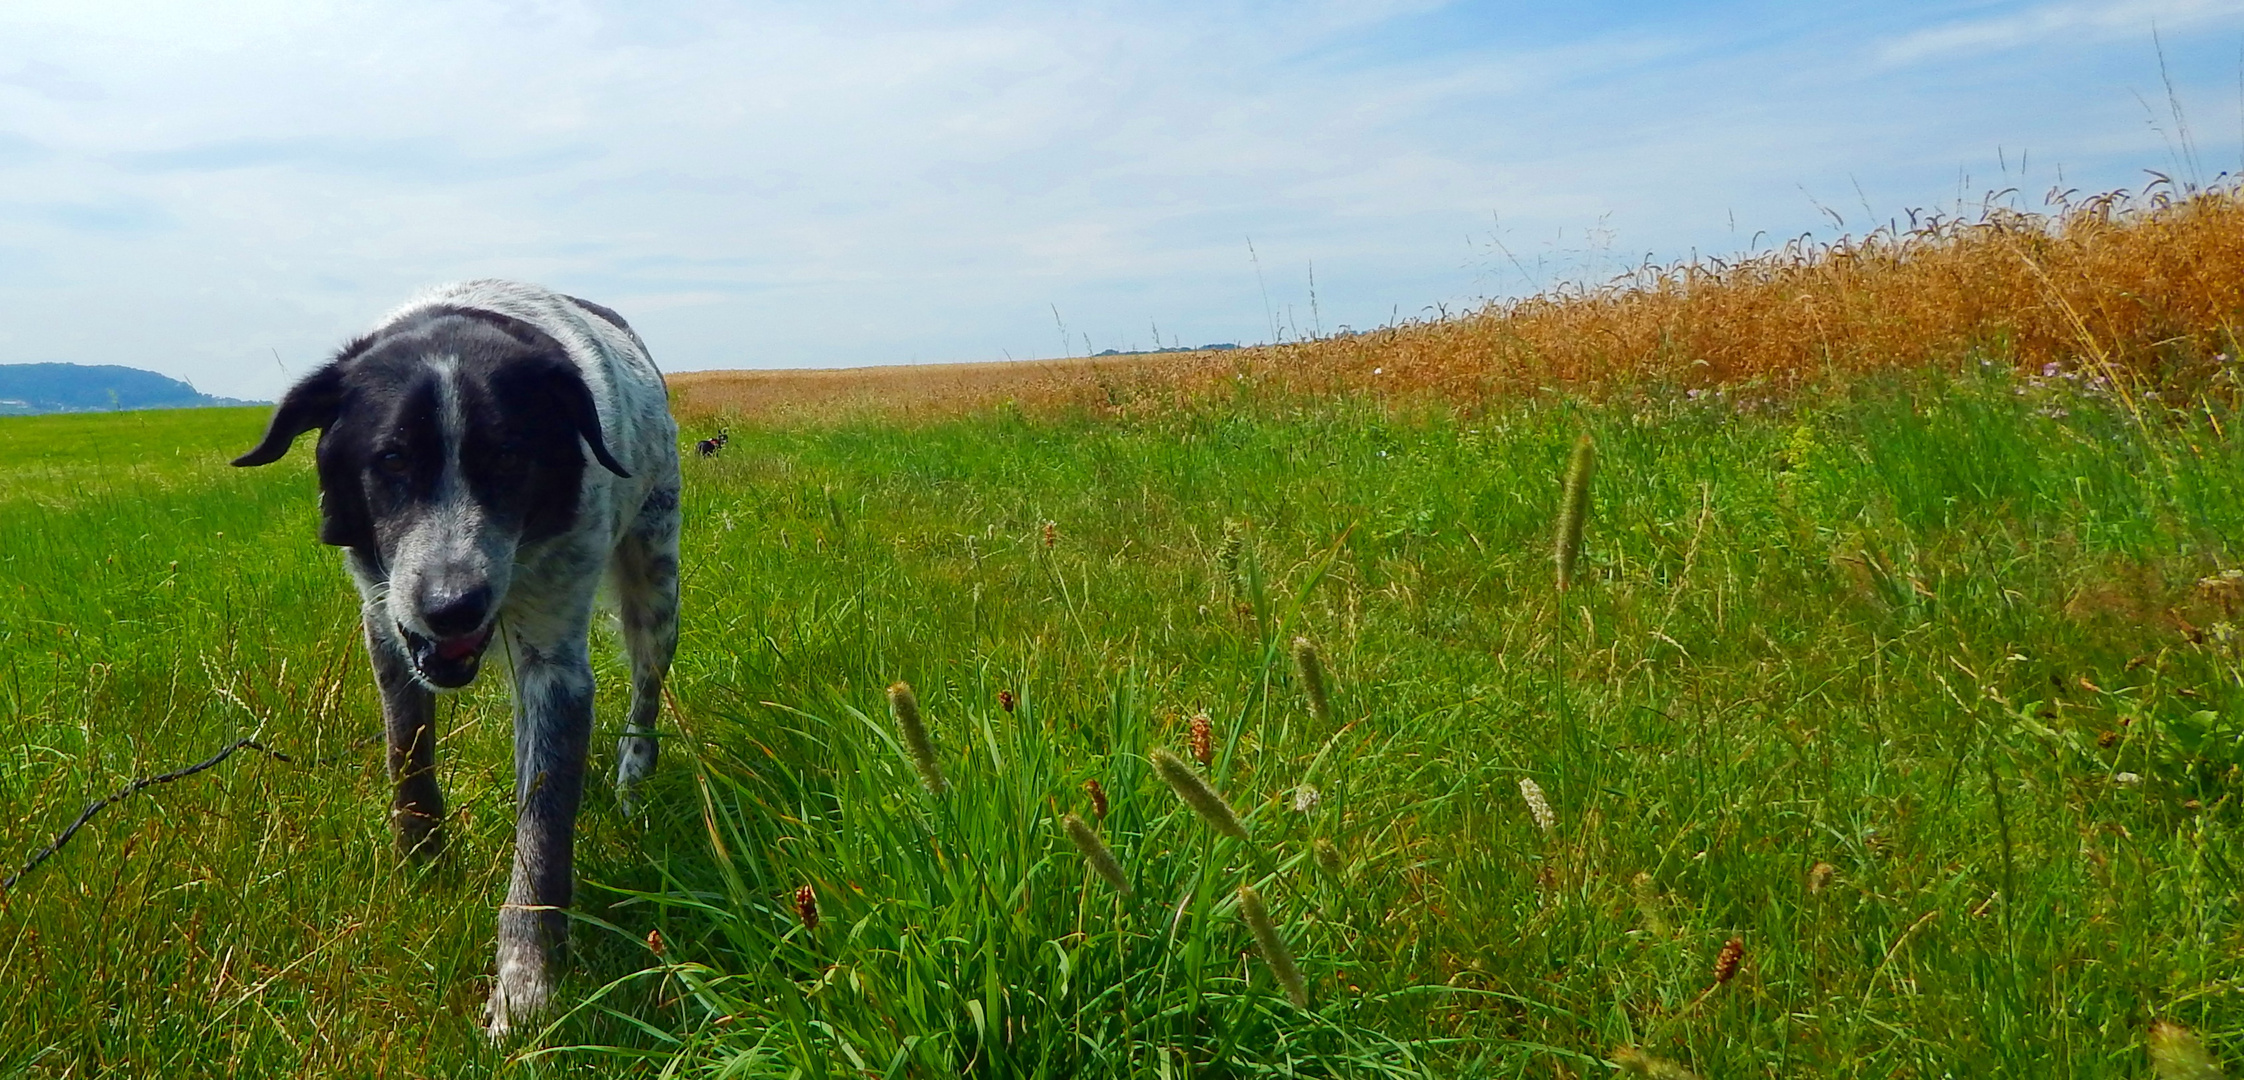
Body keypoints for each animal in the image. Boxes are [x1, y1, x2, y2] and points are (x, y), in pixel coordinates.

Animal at [234, 279, 682, 1037]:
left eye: (507, 457)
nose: (453, 606)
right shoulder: (385, 621)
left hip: (656, 585)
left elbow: (542, 834)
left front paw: (526, 990)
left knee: (645, 695)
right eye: (391, 460)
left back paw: (631, 784)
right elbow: (407, 756)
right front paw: (422, 873)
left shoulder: (555, 668)